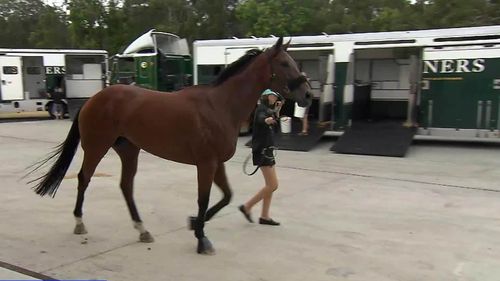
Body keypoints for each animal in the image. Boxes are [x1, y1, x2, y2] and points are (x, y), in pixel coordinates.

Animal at [27, 37, 310, 254]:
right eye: (284, 63)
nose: (307, 94)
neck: (219, 106)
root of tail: (94, 98)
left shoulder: (216, 163)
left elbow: (226, 197)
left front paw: (195, 223)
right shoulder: (206, 163)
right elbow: (204, 199)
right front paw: (201, 238)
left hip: (129, 150)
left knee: (126, 186)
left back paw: (142, 229)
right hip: (97, 147)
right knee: (84, 179)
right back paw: (79, 223)